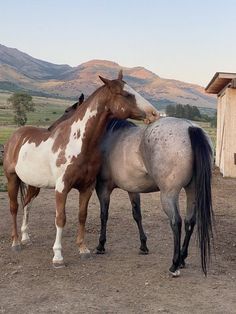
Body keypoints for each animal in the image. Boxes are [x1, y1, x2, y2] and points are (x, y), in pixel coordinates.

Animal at [3, 72, 159, 268]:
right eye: (126, 94)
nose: (154, 113)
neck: (79, 143)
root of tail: (15, 137)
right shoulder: (62, 188)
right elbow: (60, 218)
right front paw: (58, 256)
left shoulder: (87, 187)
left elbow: (82, 215)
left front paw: (83, 249)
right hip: (12, 179)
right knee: (14, 207)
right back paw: (16, 242)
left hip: (33, 183)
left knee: (27, 205)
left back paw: (25, 238)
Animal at [96, 117, 214, 274]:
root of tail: (190, 127)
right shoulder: (133, 189)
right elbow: (137, 215)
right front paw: (143, 246)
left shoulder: (102, 188)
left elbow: (104, 215)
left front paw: (101, 245)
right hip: (192, 190)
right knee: (190, 221)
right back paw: (182, 259)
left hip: (169, 194)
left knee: (176, 221)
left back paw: (174, 264)